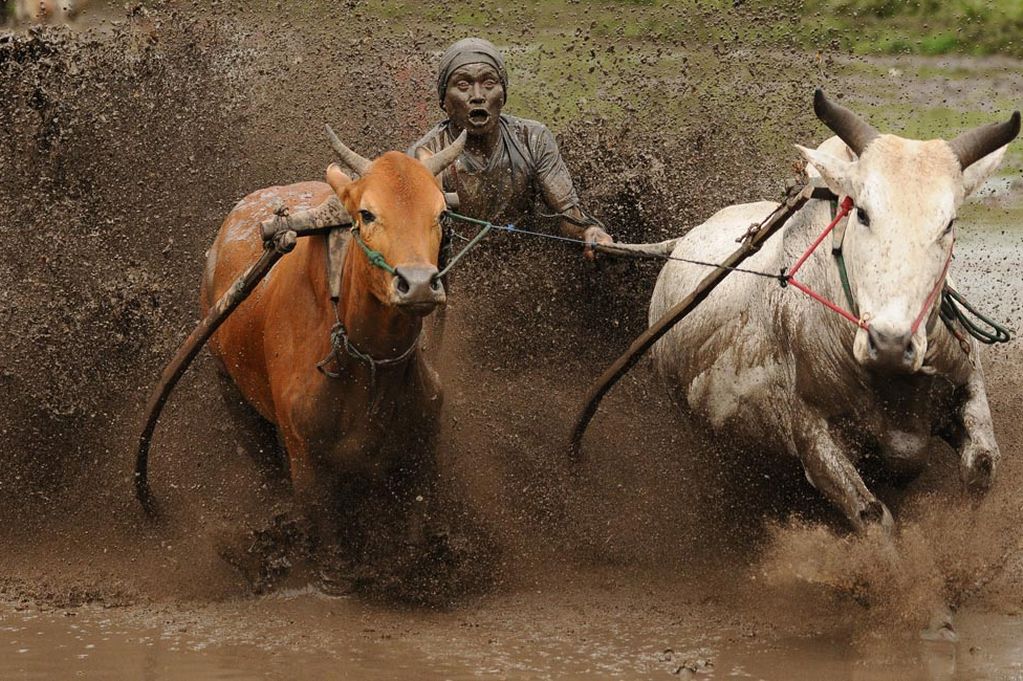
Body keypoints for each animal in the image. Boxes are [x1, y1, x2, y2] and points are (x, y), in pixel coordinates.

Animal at [201, 129, 466, 539]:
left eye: (442, 214)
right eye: (367, 214)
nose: (419, 284)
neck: (371, 371)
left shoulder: (420, 462)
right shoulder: (308, 469)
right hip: (229, 385)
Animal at [650, 88, 1018, 523]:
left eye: (949, 223)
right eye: (863, 212)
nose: (890, 344)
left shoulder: (967, 382)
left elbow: (982, 466)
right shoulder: (812, 435)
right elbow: (871, 514)